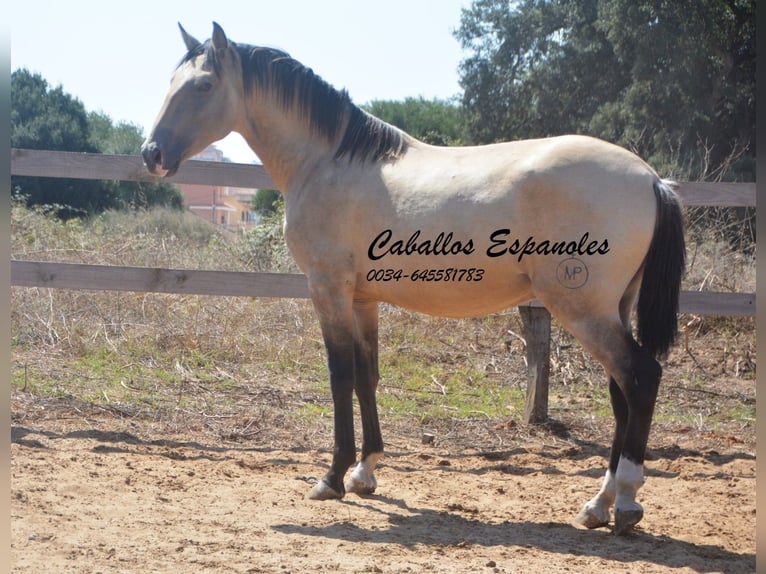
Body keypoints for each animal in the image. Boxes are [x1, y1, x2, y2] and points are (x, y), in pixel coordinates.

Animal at [141, 22, 688, 536]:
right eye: (171, 81)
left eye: (204, 85)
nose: (151, 153)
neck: (328, 161)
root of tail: (650, 179)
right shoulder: (362, 297)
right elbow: (367, 375)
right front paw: (365, 471)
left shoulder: (328, 288)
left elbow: (340, 376)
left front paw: (332, 477)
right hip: (611, 309)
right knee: (621, 393)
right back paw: (599, 505)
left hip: (582, 309)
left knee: (641, 378)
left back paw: (627, 502)